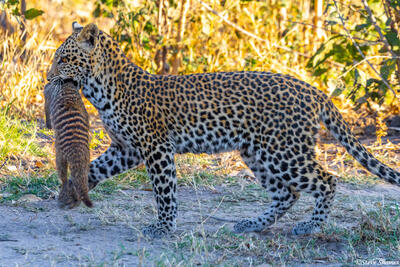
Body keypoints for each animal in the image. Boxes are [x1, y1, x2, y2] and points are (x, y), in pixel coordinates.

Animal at [44, 77, 94, 209]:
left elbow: (47, 103)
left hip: (60, 154)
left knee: (63, 176)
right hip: (87, 158)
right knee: (80, 178)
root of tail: (76, 152)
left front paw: (48, 125)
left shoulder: (50, 94)